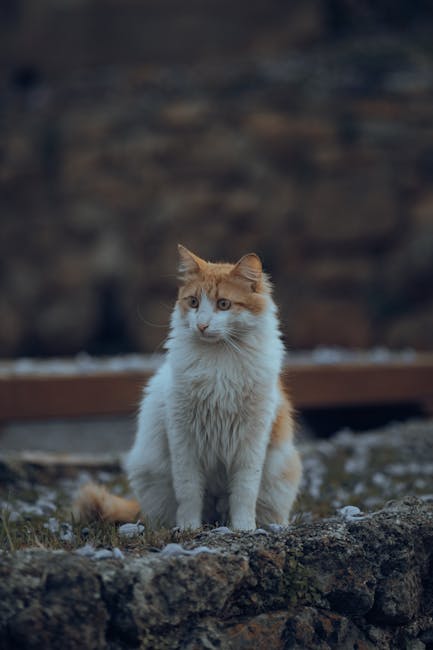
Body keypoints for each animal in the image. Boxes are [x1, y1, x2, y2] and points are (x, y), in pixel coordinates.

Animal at [73, 246, 300, 528]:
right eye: (193, 302)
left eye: (223, 304)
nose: (201, 325)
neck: (219, 363)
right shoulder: (183, 437)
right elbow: (189, 491)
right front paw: (189, 528)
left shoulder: (252, 440)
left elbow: (244, 493)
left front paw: (243, 528)